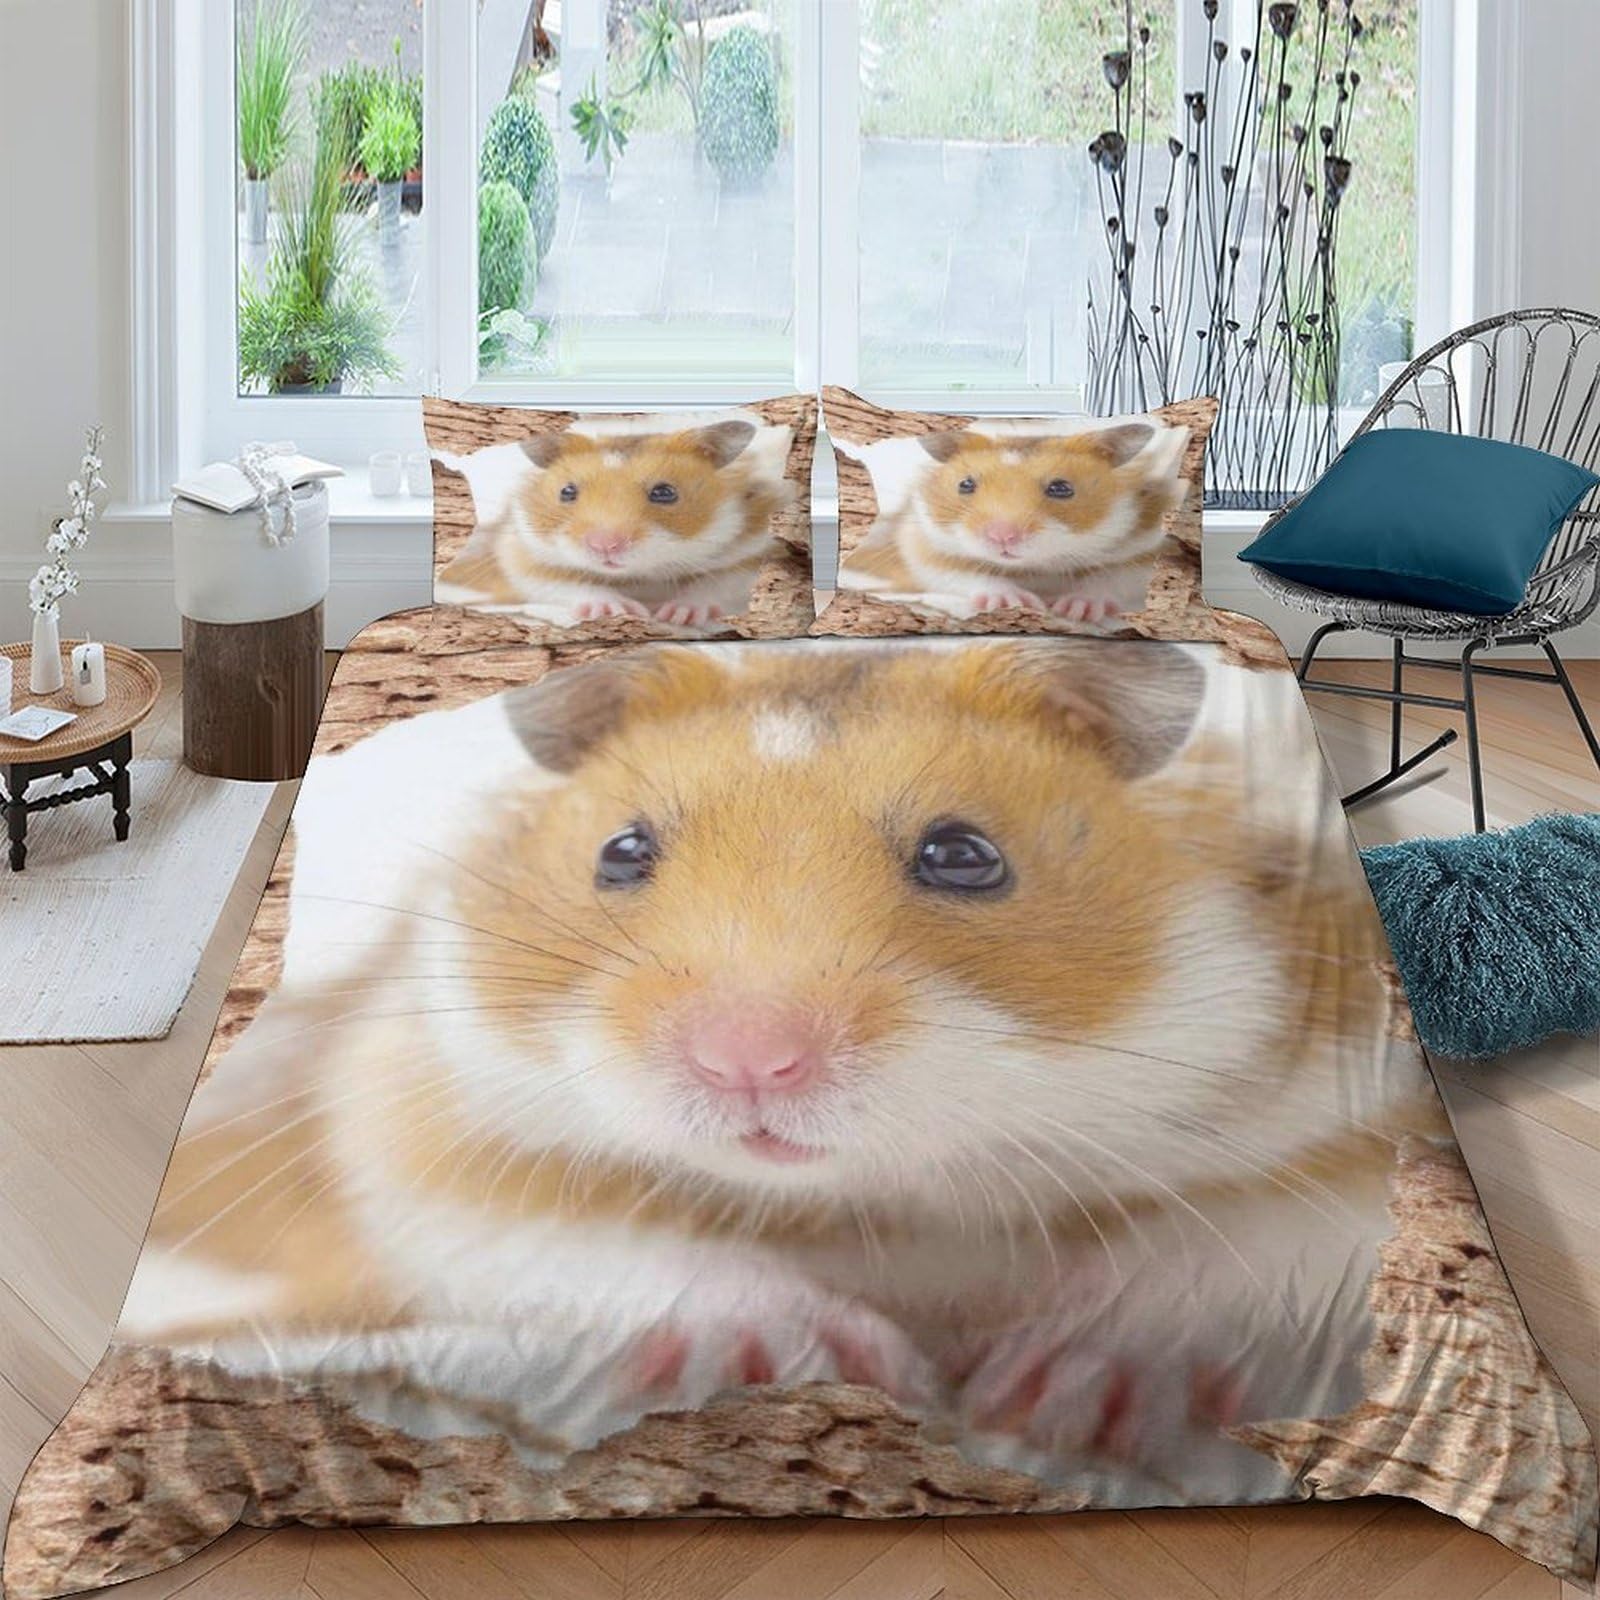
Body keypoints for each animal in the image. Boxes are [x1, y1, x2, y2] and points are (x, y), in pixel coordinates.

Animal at [124, 639, 1447, 1501]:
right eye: (620, 851)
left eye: (964, 855)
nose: (747, 1062)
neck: (879, 1202)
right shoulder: (417, 1100)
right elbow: (588, 1234)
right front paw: (841, 1358)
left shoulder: (1351, 1098)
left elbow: (1244, 1244)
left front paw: (1049, 1391)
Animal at [436, 421, 795, 631]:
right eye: (567, 492)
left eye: (665, 492)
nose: (604, 546)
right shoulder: (522, 550)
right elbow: (562, 582)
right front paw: (617, 608)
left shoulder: (752, 544)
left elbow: (719, 585)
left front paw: (676, 613)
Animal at [842, 423, 1188, 622]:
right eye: (965, 485)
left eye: (1062, 488)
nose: (1002, 537)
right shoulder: (923, 543)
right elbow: (965, 574)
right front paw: (1014, 601)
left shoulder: (1144, 542)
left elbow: (1112, 580)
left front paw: (1076, 609)